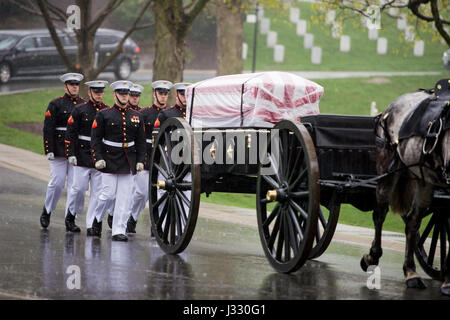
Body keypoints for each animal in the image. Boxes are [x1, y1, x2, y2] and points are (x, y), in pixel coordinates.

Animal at [358, 86, 450, 296]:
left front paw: (447, 280)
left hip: (424, 180)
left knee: (412, 222)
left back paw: (411, 272)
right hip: (388, 170)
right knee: (380, 214)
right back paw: (373, 256)